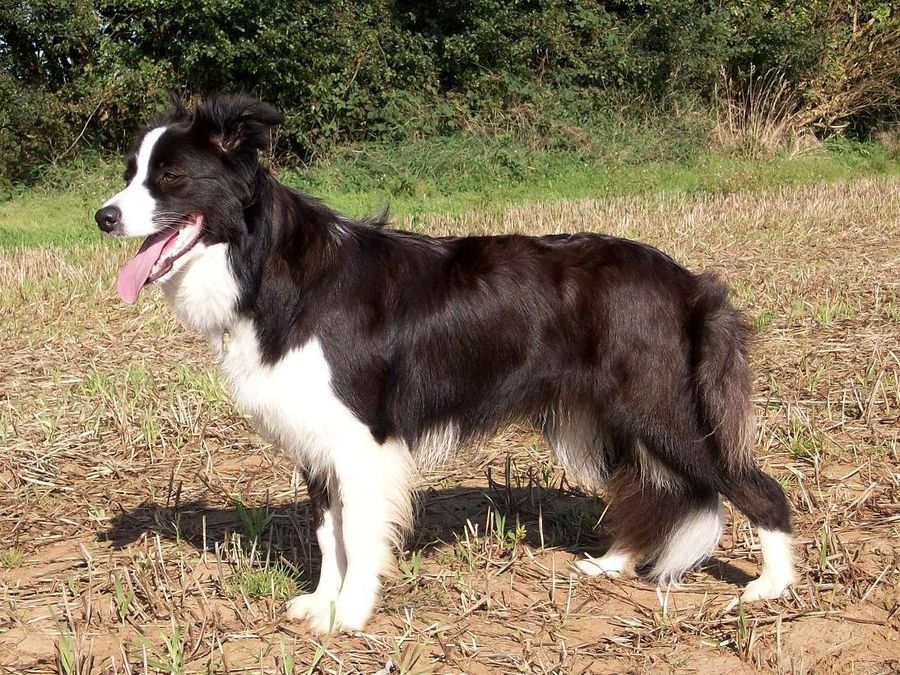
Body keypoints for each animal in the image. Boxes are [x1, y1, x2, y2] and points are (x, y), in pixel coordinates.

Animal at [96, 95, 796, 632]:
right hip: (604, 416)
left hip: (661, 408)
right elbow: (328, 534)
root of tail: (689, 282)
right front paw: (322, 605)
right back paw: (614, 563)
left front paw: (350, 617)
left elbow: (358, 534)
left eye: (172, 178)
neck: (266, 262)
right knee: (648, 487)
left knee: (750, 485)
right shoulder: (317, 438)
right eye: (131, 173)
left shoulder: (362, 440)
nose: (103, 216)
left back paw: (772, 586)